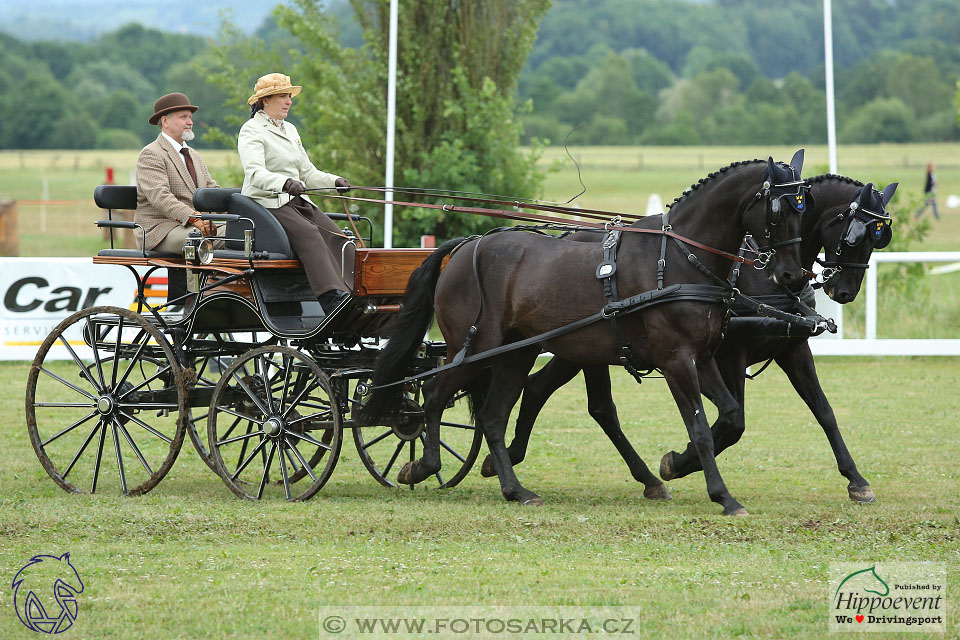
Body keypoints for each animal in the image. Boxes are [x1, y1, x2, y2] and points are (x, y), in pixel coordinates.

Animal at [368, 152, 808, 512]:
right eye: (779, 208)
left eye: (803, 208)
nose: (793, 276)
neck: (681, 258)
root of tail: (466, 246)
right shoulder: (676, 360)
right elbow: (699, 428)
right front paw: (722, 495)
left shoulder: (700, 357)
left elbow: (730, 416)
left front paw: (678, 467)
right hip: (473, 349)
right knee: (434, 394)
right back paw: (424, 465)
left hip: (515, 353)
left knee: (493, 416)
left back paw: (515, 489)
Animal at [480, 174, 900, 504]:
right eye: (856, 233)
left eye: (879, 236)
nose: (845, 291)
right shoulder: (727, 354)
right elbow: (732, 421)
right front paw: (681, 462)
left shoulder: (792, 349)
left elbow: (824, 412)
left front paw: (856, 480)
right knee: (575, 400)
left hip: (581, 348)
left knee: (547, 391)